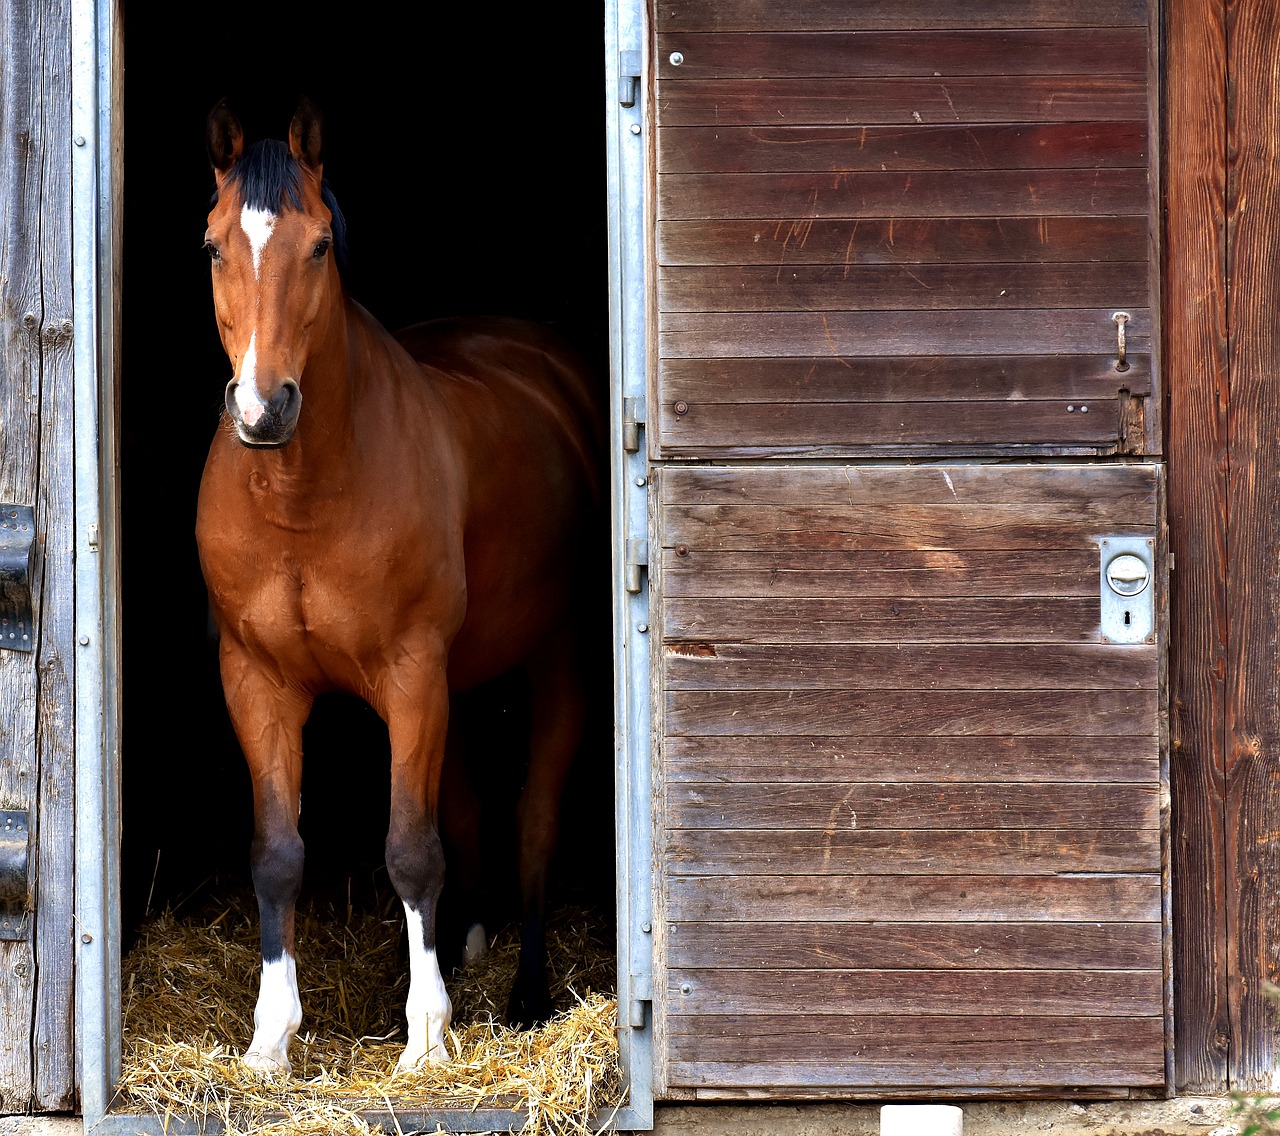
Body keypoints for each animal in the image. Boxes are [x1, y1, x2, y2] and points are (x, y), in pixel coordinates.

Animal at [193, 99, 604, 1074]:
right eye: (214, 246)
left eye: (318, 246)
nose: (263, 409)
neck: (303, 498)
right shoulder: (257, 681)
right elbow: (277, 852)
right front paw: (270, 1037)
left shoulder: (412, 675)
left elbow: (412, 850)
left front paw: (425, 1037)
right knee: (473, 811)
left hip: (555, 661)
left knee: (534, 819)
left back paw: (526, 995)